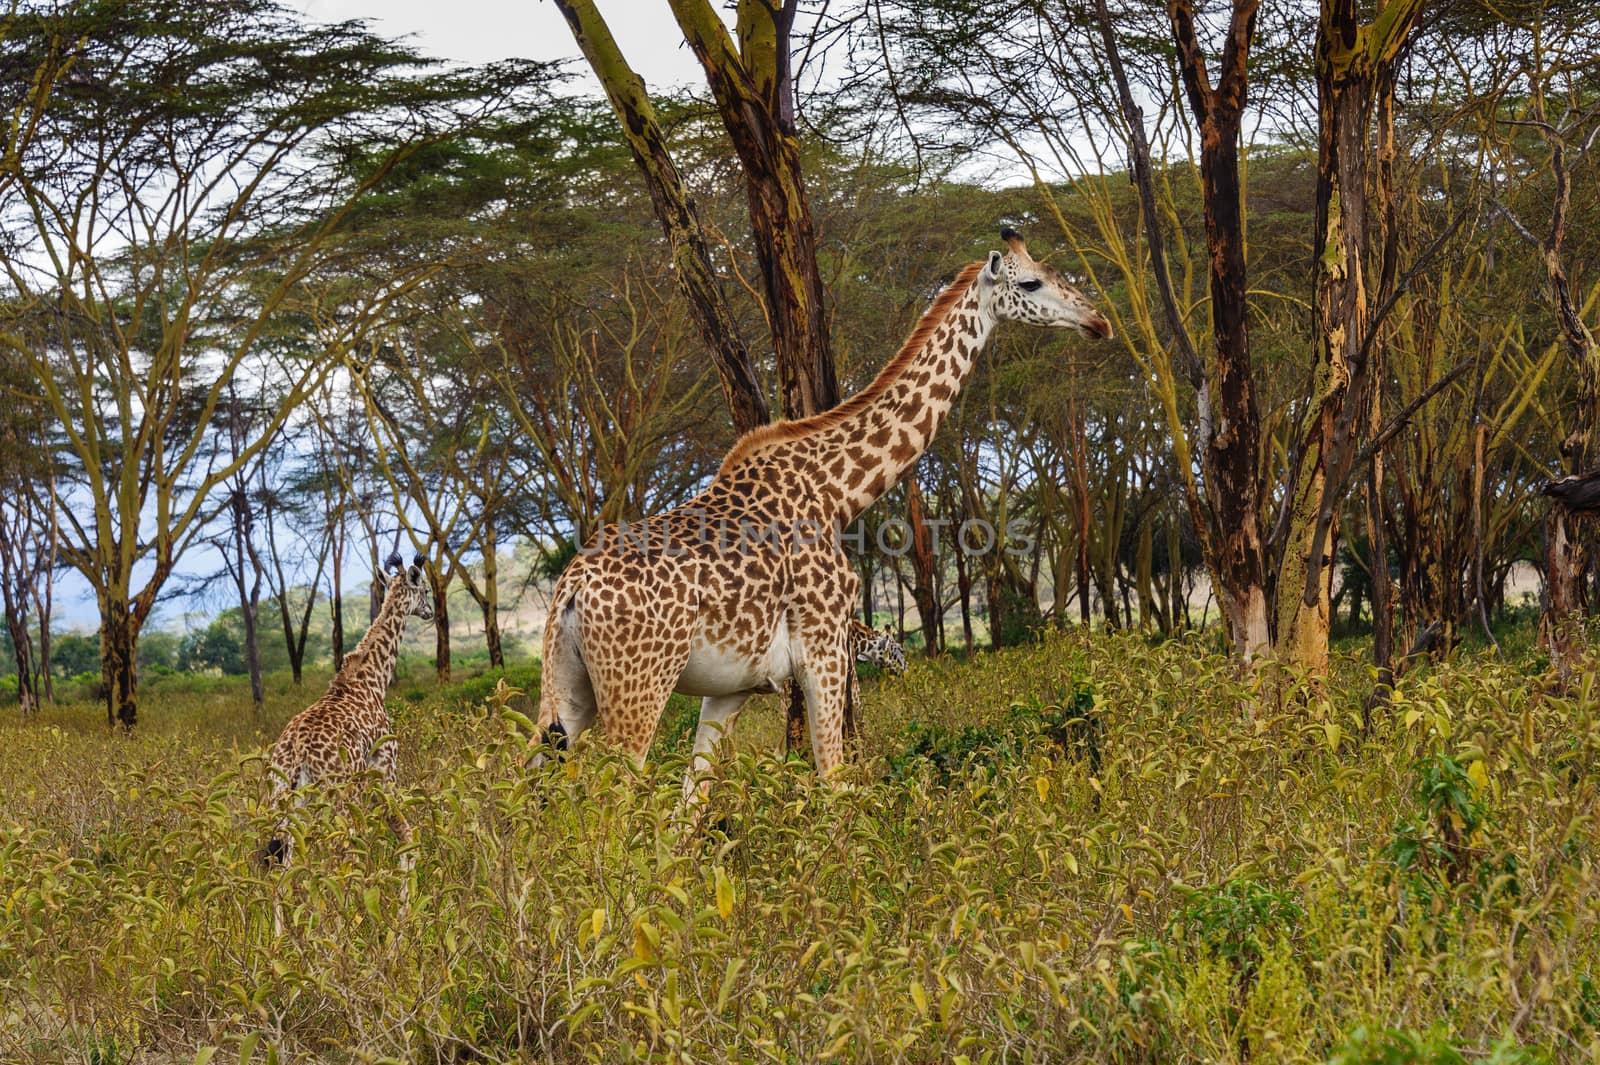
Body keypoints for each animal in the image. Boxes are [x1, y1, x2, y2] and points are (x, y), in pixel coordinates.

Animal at [262, 546, 438, 863]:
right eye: (426, 589)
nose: (430, 611)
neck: (373, 680)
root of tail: (297, 752)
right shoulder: (384, 766)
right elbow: (405, 833)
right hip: (340, 794)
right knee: (346, 851)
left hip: (283, 798)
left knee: (286, 859)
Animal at [537, 230, 1113, 796]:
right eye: (1033, 283)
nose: (1098, 321)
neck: (838, 493)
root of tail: (572, 588)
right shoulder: (824, 649)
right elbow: (834, 780)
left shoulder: (734, 685)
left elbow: (691, 800)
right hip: (639, 688)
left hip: (565, 691)